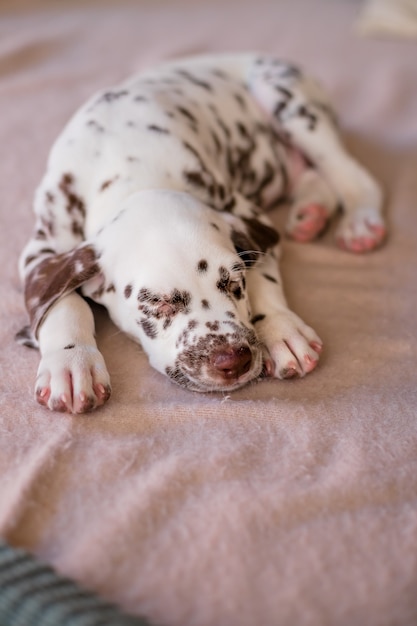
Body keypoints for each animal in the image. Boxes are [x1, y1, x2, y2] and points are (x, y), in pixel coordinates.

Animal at [17, 51, 386, 412]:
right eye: (158, 304)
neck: (129, 171)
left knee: (348, 174)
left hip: (290, 104)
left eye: (235, 284)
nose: (233, 360)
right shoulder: (43, 249)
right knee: (313, 176)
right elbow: (62, 302)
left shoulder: (248, 215)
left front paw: (280, 327)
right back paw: (311, 212)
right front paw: (71, 362)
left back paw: (360, 221)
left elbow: (263, 273)